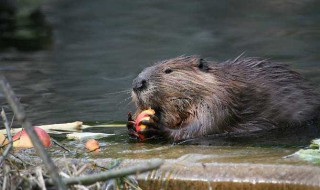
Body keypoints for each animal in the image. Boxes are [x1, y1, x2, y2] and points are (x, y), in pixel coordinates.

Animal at [127, 55, 320, 141]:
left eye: (168, 70)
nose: (137, 83)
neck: (219, 81)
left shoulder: (220, 101)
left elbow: (201, 128)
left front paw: (156, 127)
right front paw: (130, 124)